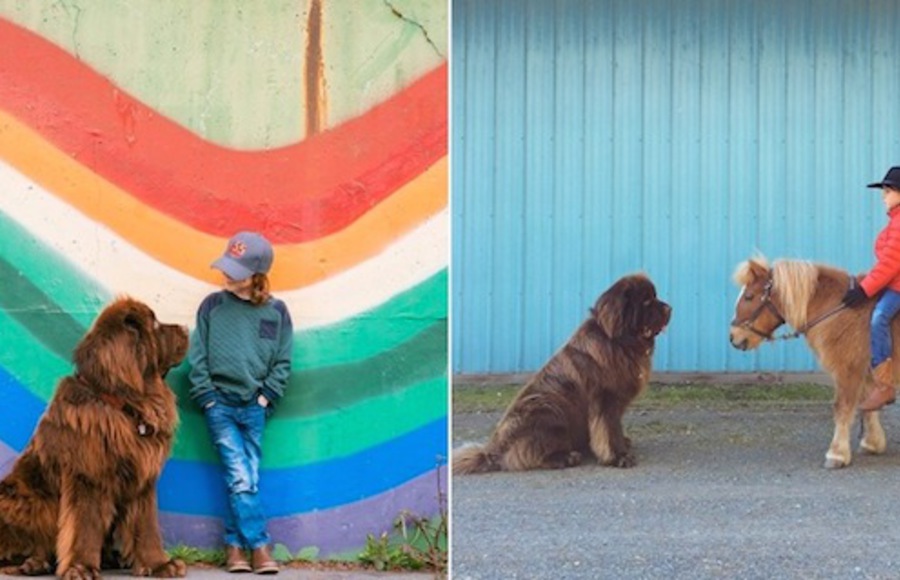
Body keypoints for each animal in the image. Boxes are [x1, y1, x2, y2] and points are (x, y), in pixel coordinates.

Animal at [0, 300, 187, 580]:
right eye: (154, 324)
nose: (186, 328)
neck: (122, 405)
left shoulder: (142, 481)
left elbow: (146, 527)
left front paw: (159, 565)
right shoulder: (87, 477)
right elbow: (84, 526)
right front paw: (81, 567)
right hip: (22, 500)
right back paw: (34, 563)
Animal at [458, 274, 668, 474]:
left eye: (654, 297)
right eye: (646, 301)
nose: (669, 309)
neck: (618, 342)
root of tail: (493, 451)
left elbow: (613, 429)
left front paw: (622, 445)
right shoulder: (605, 400)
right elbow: (608, 431)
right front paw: (618, 457)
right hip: (545, 406)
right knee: (527, 454)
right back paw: (567, 457)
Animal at [732, 256, 892, 468]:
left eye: (749, 296)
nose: (733, 337)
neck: (842, 310)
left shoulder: (848, 369)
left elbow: (843, 407)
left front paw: (837, 454)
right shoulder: (864, 371)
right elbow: (868, 405)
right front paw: (872, 443)